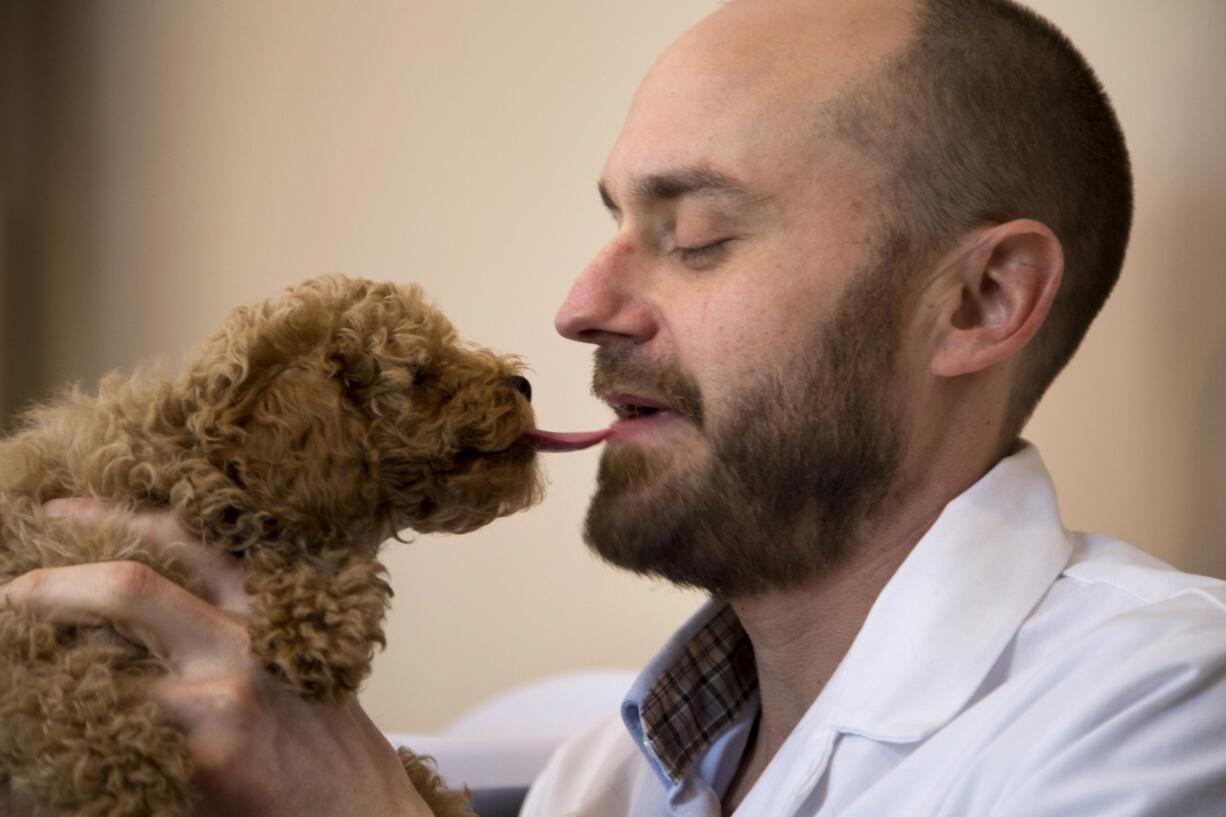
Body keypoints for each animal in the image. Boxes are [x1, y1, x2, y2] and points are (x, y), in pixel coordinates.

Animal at [0, 277, 573, 814]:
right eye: (420, 374)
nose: (523, 384)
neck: (188, 456)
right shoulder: (34, 620)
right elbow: (68, 696)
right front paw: (129, 781)